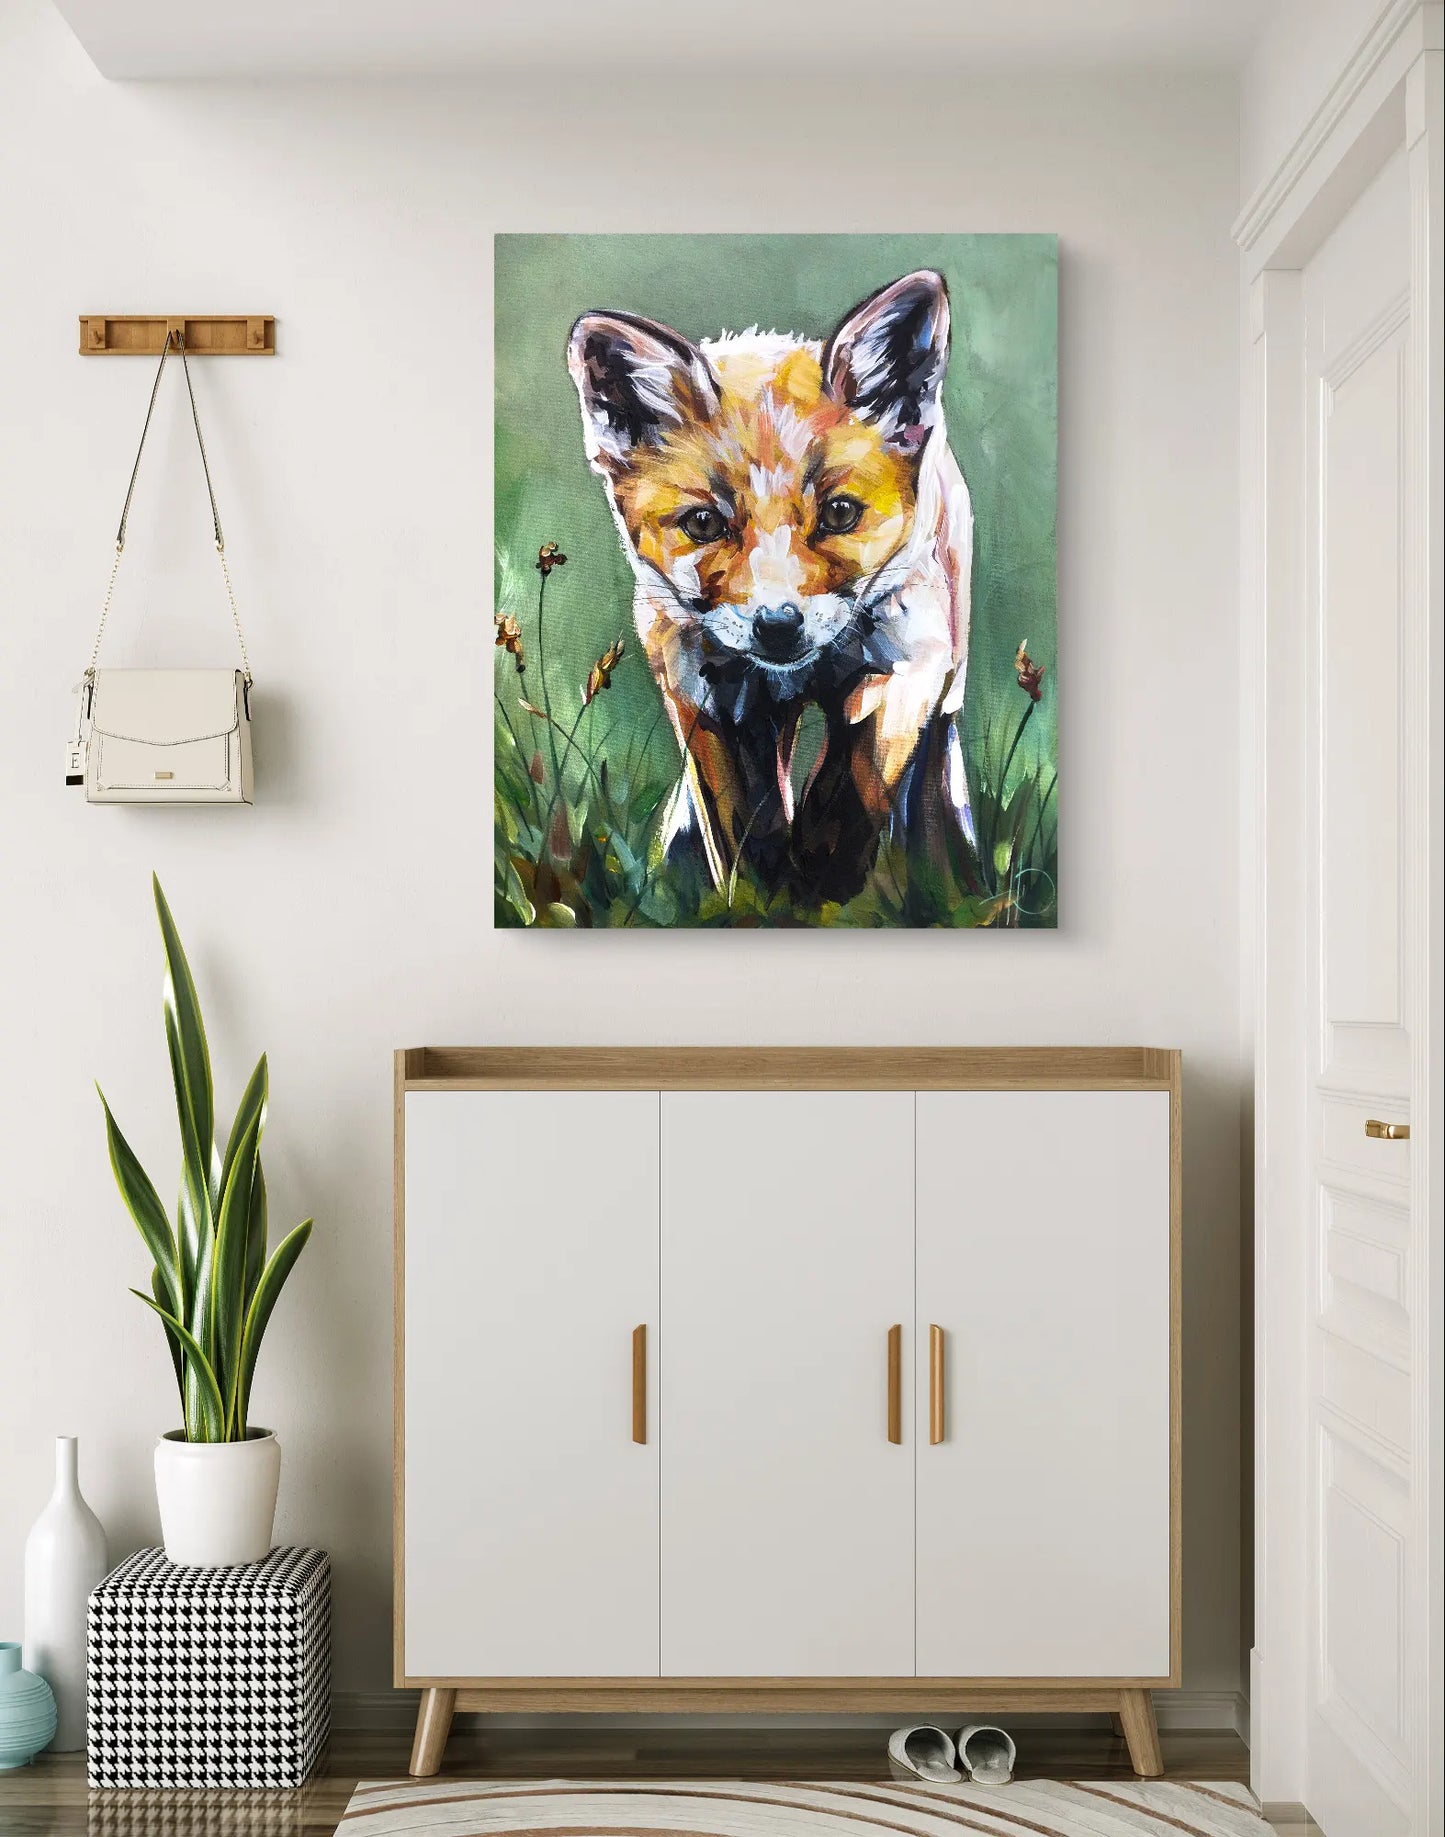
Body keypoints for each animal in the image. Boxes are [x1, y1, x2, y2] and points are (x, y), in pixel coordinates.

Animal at [567, 268, 974, 904]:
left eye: (839, 513)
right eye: (703, 524)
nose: (778, 626)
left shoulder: (905, 665)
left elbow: (849, 795)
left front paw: (821, 890)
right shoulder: (705, 695)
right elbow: (741, 829)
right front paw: (761, 899)